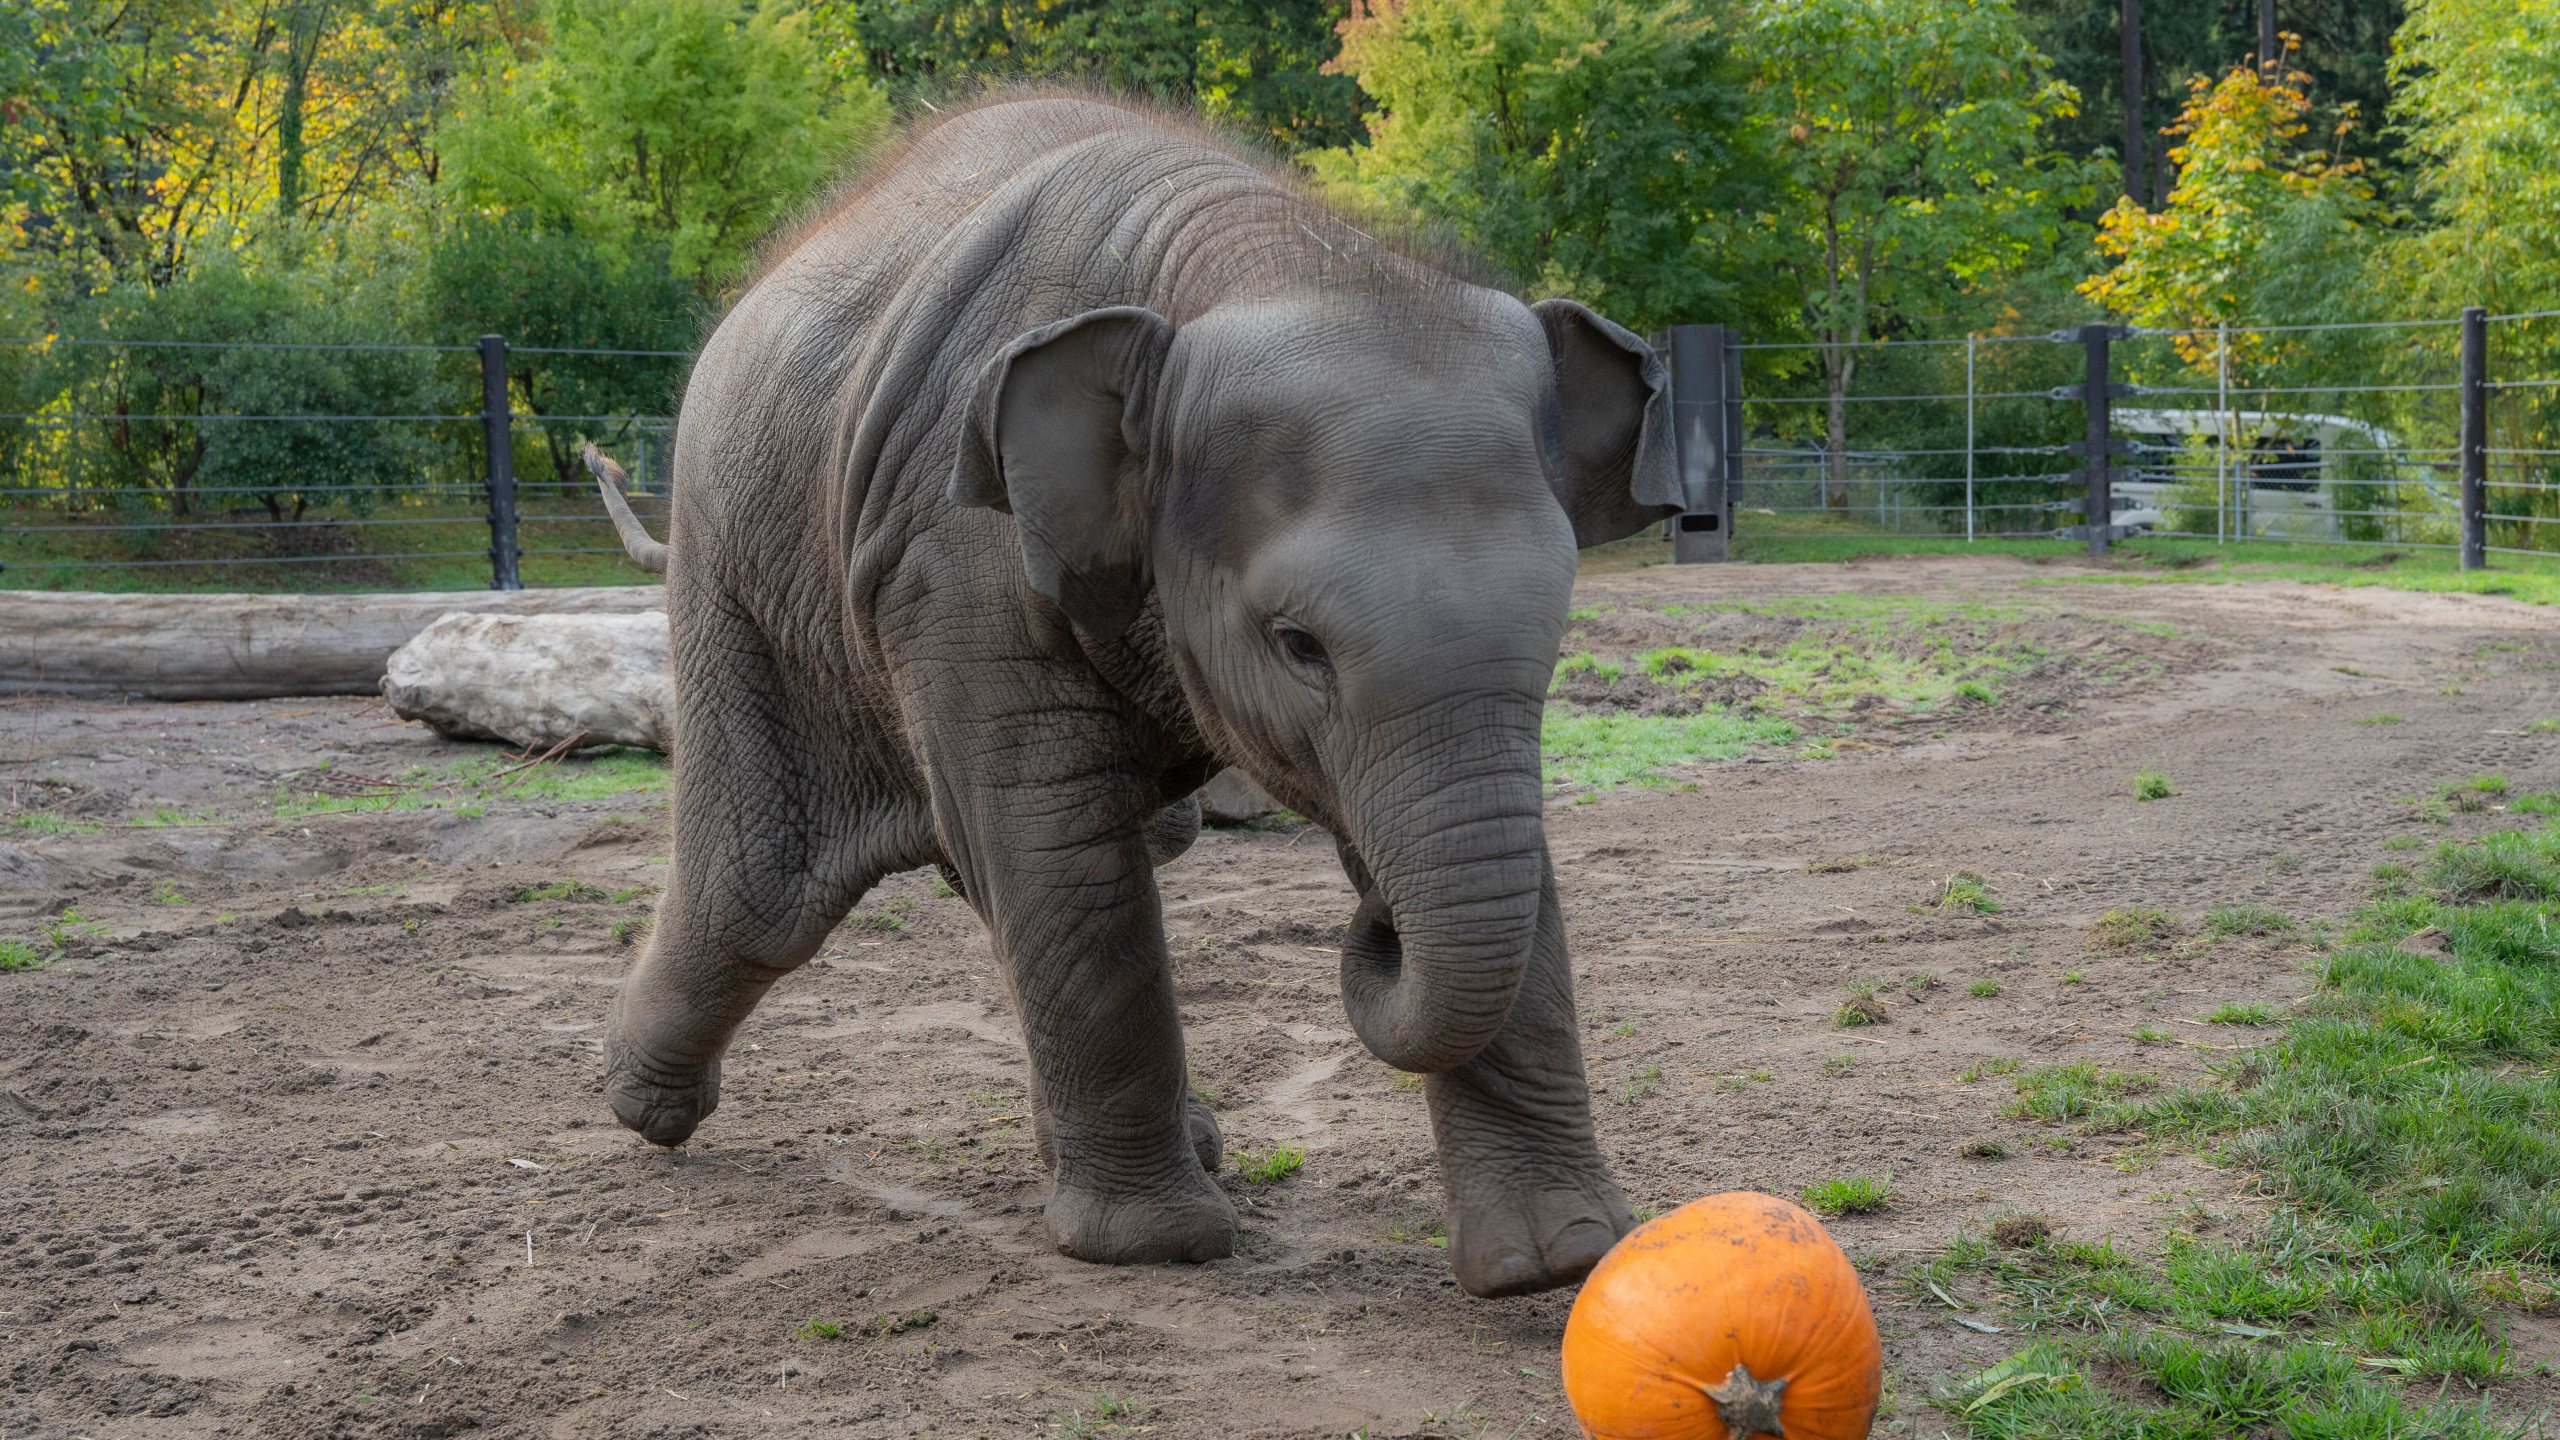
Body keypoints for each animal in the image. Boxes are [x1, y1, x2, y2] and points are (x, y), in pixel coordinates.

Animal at [586, 94, 1684, 1298]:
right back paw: (642, 1108)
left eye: (1554, 631)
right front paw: (1156, 1246)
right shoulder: (956, 553)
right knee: (766, 892)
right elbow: (1052, 837)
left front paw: (1557, 1260)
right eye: (1297, 645)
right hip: (742, 576)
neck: (1279, 259)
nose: (1376, 927)